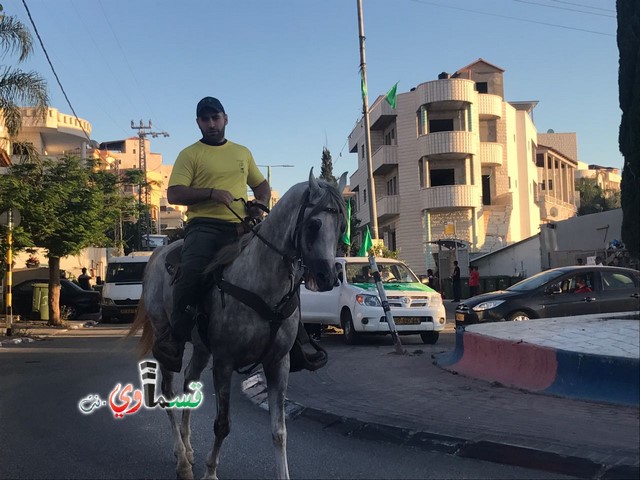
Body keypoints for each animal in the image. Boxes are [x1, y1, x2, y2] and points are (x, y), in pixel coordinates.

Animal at [129, 171, 344, 478]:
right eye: (314, 225)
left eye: (341, 226)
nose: (327, 277)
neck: (262, 285)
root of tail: (157, 256)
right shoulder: (224, 362)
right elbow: (222, 425)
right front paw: (210, 472)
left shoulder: (278, 363)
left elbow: (279, 432)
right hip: (166, 337)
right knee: (169, 393)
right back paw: (181, 459)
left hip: (201, 348)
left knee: (189, 384)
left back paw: (188, 449)